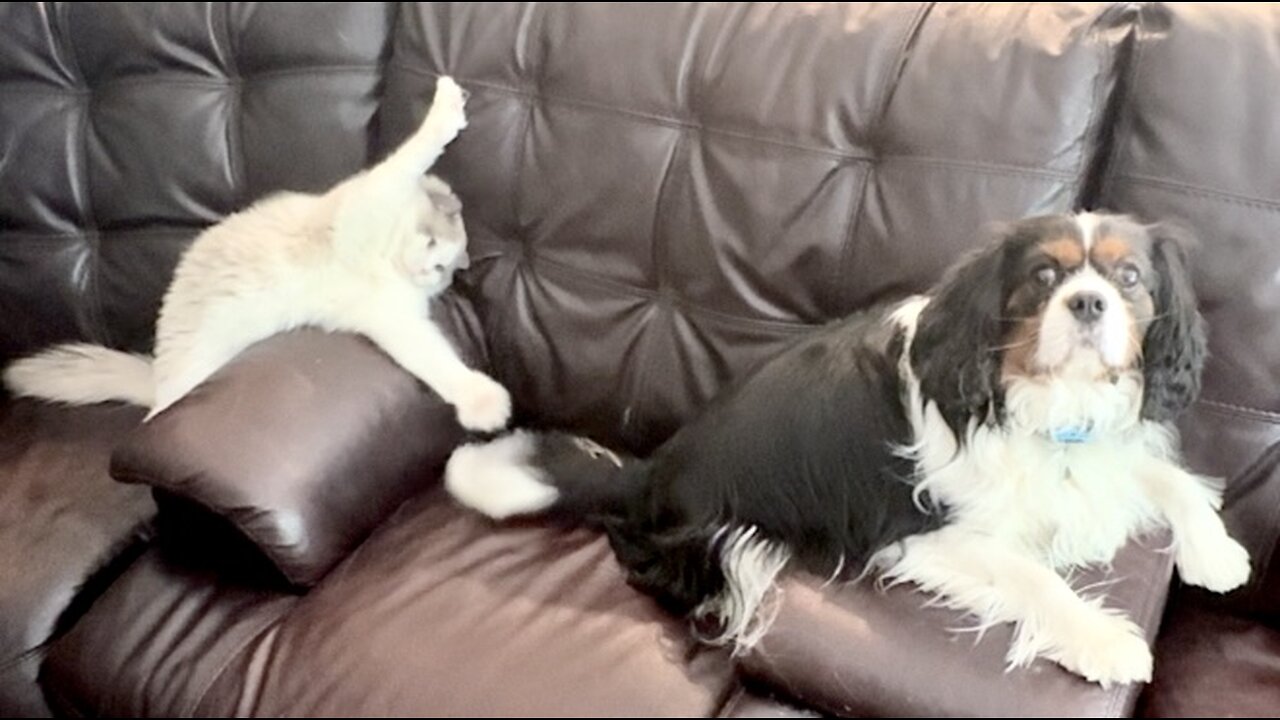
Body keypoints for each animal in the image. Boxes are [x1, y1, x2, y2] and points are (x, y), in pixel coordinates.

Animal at [1, 75, 509, 430]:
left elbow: (438, 363)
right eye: (431, 243)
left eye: (443, 268)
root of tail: (157, 381)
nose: (428, 272)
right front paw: (448, 103)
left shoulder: (393, 322)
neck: (381, 262)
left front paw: (483, 404)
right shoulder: (376, 196)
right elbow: (415, 151)